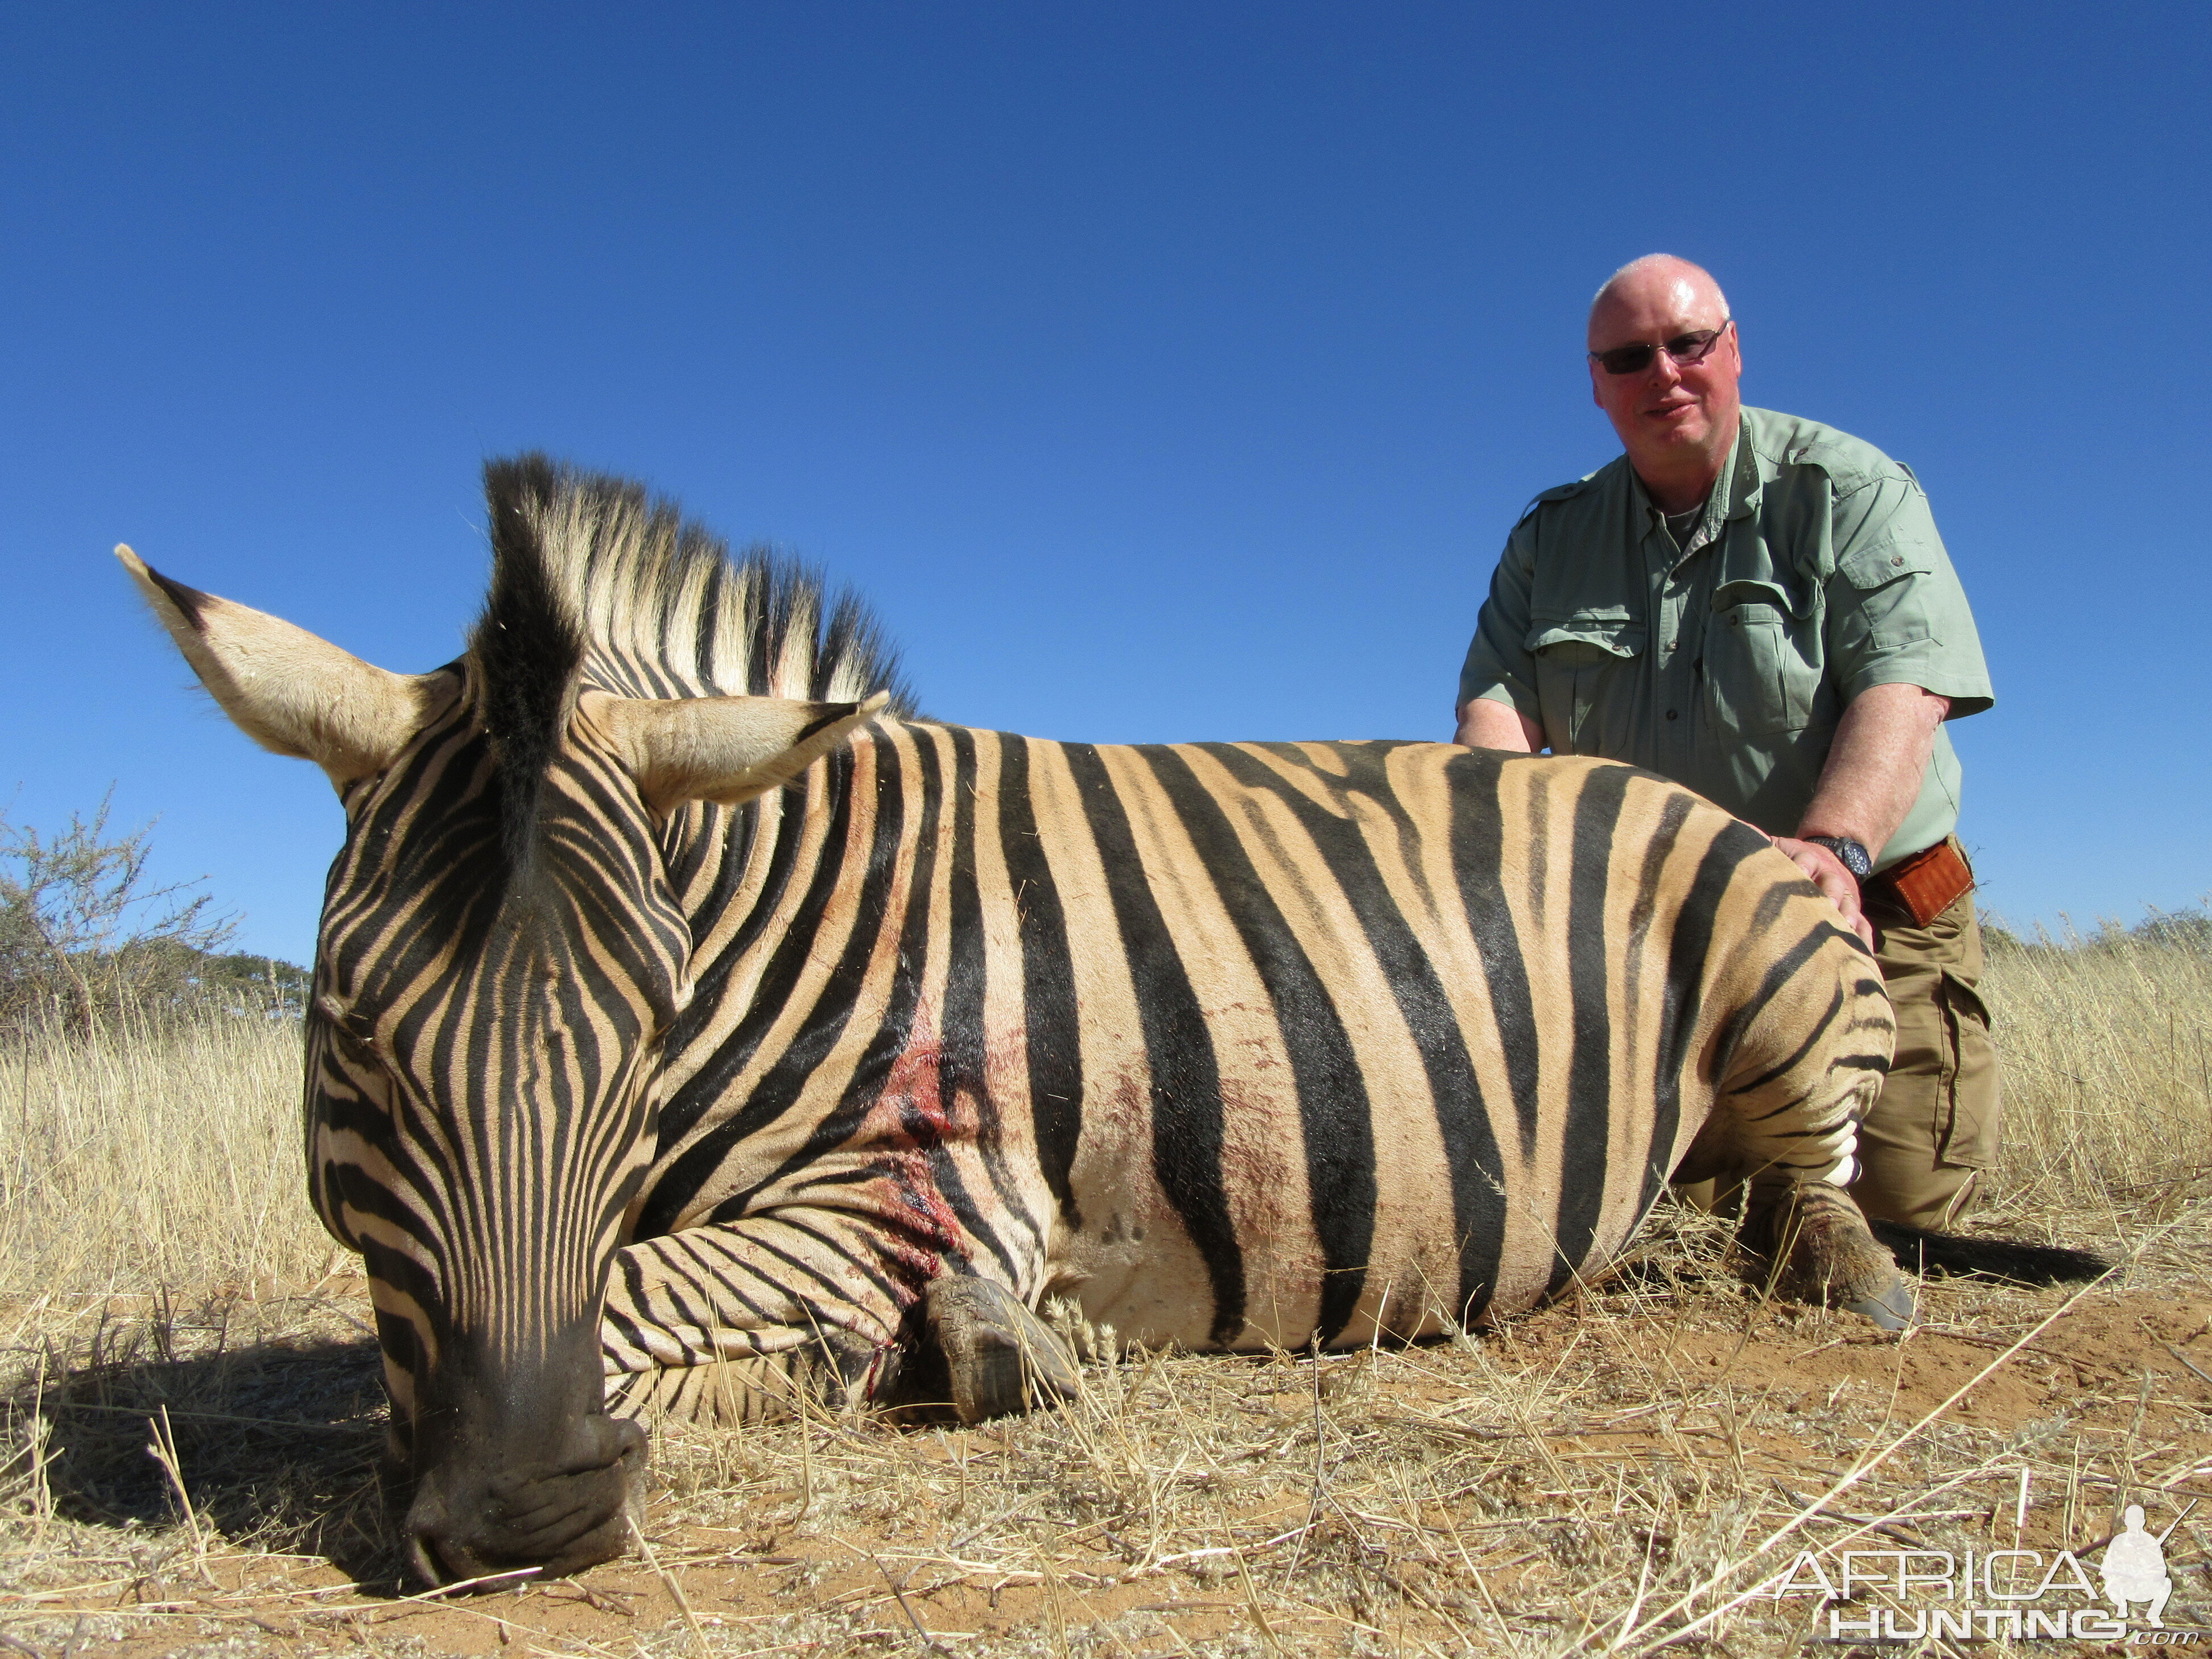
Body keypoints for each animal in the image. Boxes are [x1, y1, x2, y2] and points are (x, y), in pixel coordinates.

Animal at [117, 455, 2026, 1583]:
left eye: (648, 1023)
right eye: (352, 1033)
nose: (532, 1508)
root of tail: (1660, 787)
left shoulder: (925, 1189)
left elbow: (640, 1304)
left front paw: (947, 1353)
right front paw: (974, 1354)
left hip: (1785, 978)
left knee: (1812, 1186)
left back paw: (1851, 1277)